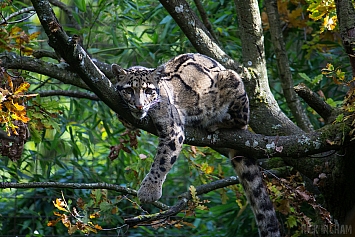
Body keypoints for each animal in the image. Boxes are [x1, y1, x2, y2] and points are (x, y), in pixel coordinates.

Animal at [112, 53, 280, 237]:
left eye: (148, 91)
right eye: (129, 90)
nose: (139, 105)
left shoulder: (174, 129)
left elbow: (162, 160)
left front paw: (149, 190)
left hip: (233, 82)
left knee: (241, 120)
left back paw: (216, 123)